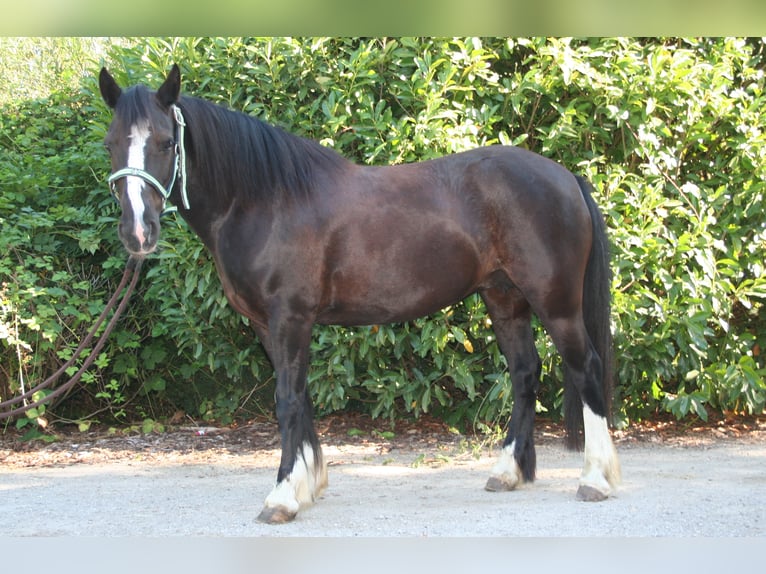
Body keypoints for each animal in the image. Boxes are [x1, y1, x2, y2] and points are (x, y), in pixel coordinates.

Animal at [99, 65, 620, 524]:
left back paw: (595, 479)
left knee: (587, 368)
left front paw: (282, 497)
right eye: (110, 143)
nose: (137, 233)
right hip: (505, 299)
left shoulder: (290, 318)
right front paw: (309, 484)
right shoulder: (269, 325)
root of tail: (566, 177)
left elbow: (286, 401)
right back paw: (508, 472)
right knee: (524, 372)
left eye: (167, 143)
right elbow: (302, 398)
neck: (264, 201)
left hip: (556, 302)